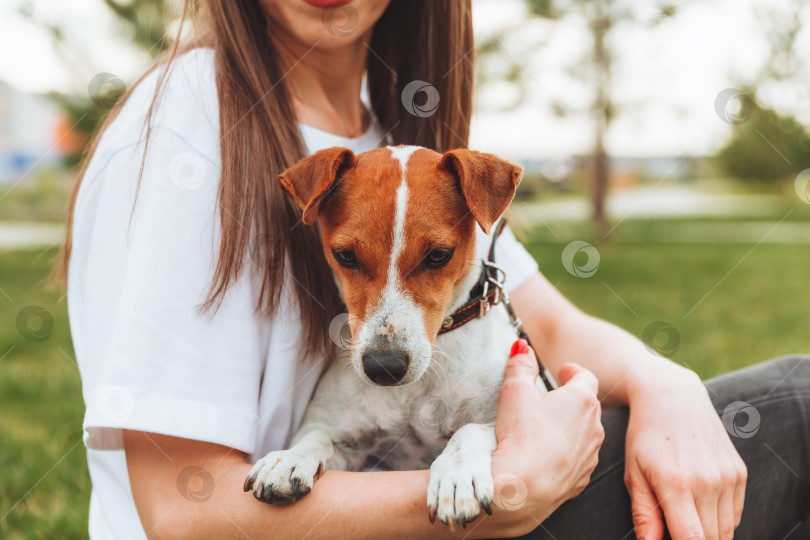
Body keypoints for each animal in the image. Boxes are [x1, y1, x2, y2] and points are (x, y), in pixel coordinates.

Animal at [243, 143, 552, 528]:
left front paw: (456, 473)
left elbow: (473, 430)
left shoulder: (516, 415)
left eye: (438, 255)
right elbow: (317, 436)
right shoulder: (354, 447)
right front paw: (288, 458)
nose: (384, 367)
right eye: (344, 255)